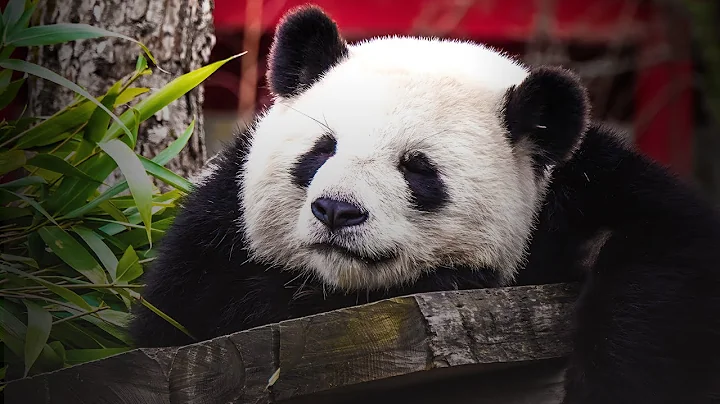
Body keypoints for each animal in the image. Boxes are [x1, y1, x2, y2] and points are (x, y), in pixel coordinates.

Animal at [129, 5, 720, 403]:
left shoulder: (583, 185)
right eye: (322, 150)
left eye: (417, 169)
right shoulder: (216, 231)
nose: (337, 211)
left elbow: (664, 248)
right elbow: (191, 313)